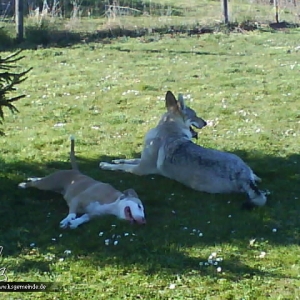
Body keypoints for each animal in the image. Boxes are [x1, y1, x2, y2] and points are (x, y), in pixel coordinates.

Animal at [100, 91, 268, 209]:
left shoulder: (140, 169)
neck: (169, 130)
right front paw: (114, 159)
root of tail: (243, 176)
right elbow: (126, 159)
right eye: (195, 115)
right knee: (257, 178)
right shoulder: (141, 161)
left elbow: (122, 166)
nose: (206, 123)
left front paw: (107, 165)